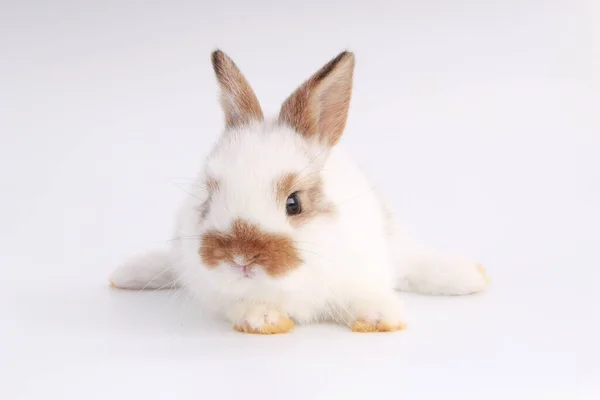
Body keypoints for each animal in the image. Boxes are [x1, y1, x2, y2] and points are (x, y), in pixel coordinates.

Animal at [108, 50, 490, 334]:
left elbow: (367, 296)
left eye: (294, 203)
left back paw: (472, 276)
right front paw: (264, 320)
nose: (241, 258)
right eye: (210, 196)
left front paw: (381, 318)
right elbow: (245, 304)